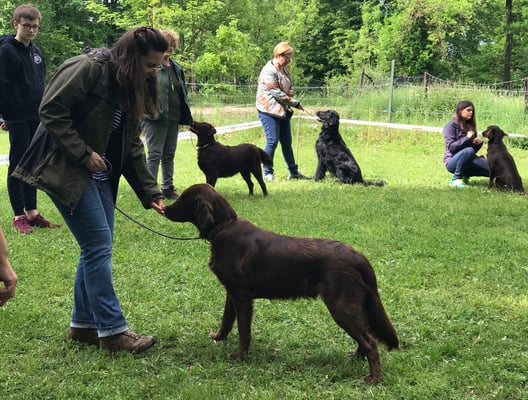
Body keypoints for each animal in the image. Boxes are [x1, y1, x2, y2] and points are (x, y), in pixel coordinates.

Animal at [164, 183, 398, 383]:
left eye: (184, 198)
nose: (164, 208)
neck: (224, 227)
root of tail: (357, 255)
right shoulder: (231, 292)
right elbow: (226, 319)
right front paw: (219, 337)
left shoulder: (242, 295)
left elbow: (243, 330)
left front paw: (239, 355)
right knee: (366, 335)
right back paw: (356, 356)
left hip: (341, 306)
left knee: (370, 342)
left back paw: (374, 378)